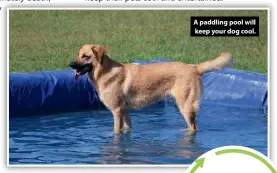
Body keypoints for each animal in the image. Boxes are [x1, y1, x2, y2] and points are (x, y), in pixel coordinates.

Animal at [69, 44, 233, 134]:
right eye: (78, 54)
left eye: (85, 56)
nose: (70, 64)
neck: (105, 71)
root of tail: (193, 66)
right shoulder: (124, 111)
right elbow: (126, 129)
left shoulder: (116, 111)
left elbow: (116, 131)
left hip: (185, 107)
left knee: (194, 128)